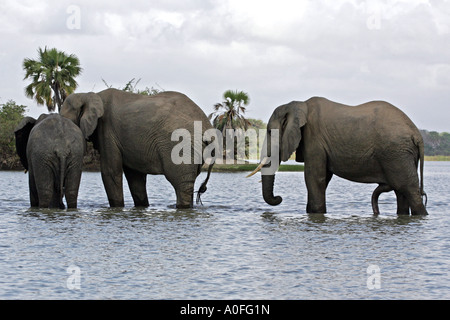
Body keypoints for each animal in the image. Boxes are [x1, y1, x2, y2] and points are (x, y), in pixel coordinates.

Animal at [61, 88, 214, 208]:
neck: (88, 94)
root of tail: (208, 126)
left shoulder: (106, 129)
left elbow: (110, 171)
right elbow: (135, 177)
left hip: (181, 144)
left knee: (180, 184)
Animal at [248, 97, 428, 216]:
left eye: (269, 132)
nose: (279, 198)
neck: (298, 105)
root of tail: (417, 134)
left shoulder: (314, 138)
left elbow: (315, 177)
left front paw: (315, 213)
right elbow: (324, 178)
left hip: (396, 152)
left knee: (409, 189)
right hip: (400, 154)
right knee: (401, 191)